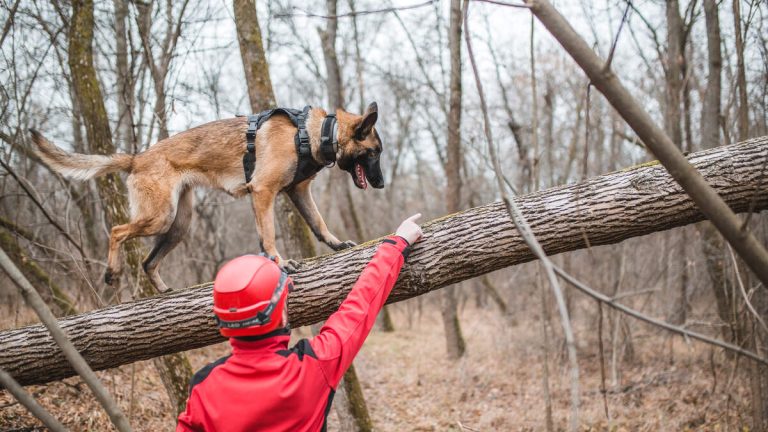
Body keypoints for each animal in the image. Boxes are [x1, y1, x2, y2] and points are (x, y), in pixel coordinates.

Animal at [30, 103, 384, 292]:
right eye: (374, 153)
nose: (381, 185)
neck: (314, 133)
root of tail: (136, 158)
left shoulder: (298, 192)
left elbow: (319, 224)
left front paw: (336, 244)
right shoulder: (263, 192)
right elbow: (268, 235)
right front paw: (279, 261)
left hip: (179, 225)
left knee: (147, 261)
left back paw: (161, 289)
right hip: (159, 216)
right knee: (117, 231)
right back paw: (112, 272)